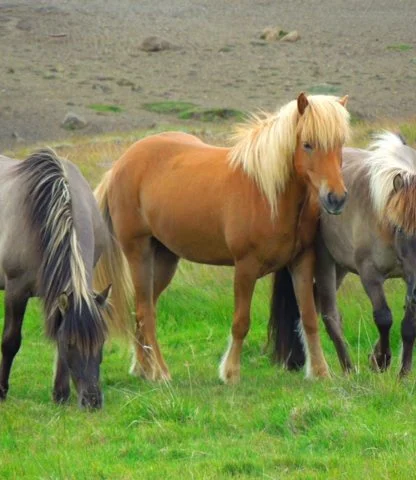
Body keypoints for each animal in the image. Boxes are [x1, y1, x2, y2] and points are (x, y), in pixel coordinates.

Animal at [0, 150, 111, 408]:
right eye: (71, 343)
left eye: (101, 342)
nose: (92, 400)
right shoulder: (15, 290)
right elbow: (10, 341)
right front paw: (1, 391)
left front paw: (60, 394)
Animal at [92, 93, 350, 382]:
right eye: (307, 144)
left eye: (340, 143)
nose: (336, 198)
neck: (267, 194)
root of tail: (118, 166)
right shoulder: (246, 267)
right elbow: (241, 322)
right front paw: (231, 373)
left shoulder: (302, 262)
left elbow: (308, 318)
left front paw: (320, 372)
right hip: (138, 252)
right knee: (146, 312)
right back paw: (161, 372)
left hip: (164, 259)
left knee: (143, 307)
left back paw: (144, 369)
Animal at [268, 133, 416, 376]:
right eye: (400, 229)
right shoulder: (369, 273)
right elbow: (383, 317)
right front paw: (381, 360)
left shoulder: (410, 279)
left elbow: (409, 325)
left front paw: (403, 373)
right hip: (324, 263)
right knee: (329, 315)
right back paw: (347, 368)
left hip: (340, 268)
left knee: (313, 307)